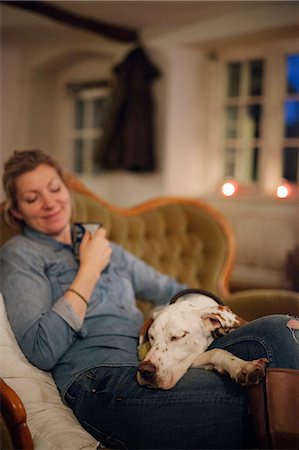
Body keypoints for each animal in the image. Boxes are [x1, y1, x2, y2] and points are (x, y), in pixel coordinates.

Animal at [137, 290, 268, 388]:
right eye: (151, 337)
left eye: (179, 336)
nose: (144, 371)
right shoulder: (192, 358)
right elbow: (216, 352)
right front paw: (241, 366)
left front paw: (243, 366)